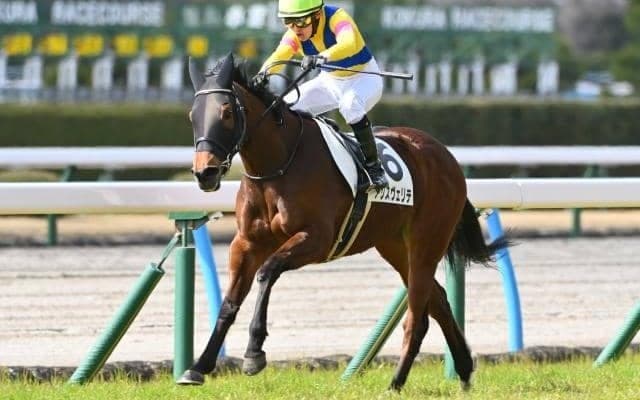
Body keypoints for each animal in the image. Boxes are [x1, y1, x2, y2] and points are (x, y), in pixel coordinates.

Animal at [179, 53, 507, 391]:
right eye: (192, 115)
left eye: (227, 112)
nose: (205, 173)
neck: (278, 165)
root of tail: (447, 157)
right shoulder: (245, 243)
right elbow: (229, 303)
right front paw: (198, 367)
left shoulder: (317, 239)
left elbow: (267, 272)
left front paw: (254, 353)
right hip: (395, 246)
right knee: (438, 299)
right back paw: (464, 370)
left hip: (427, 241)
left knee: (418, 316)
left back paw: (396, 382)